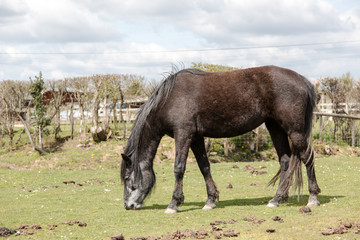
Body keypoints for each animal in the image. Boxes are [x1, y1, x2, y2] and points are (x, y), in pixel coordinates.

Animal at [120, 64, 320, 213]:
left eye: (128, 178)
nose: (128, 205)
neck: (170, 98)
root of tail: (302, 80)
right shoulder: (196, 138)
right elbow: (204, 167)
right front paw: (210, 200)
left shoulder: (183, 134)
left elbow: (179, 168)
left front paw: (174, 203)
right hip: (275, 127)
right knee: (285, 160)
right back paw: (276, 198)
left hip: (295, 131)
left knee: (307, 158)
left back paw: (312, 197)